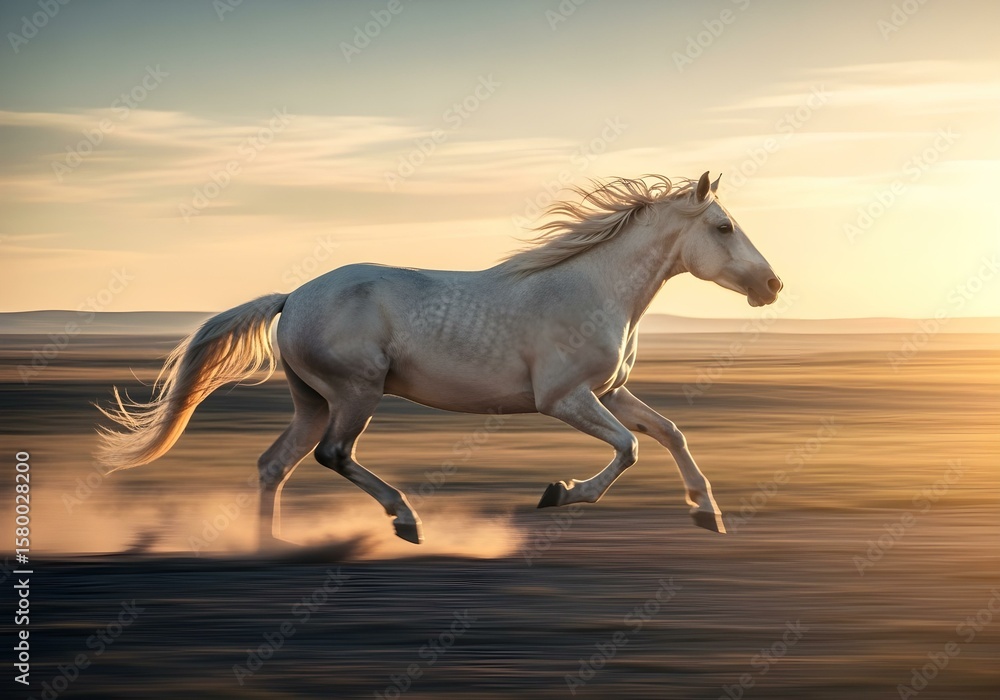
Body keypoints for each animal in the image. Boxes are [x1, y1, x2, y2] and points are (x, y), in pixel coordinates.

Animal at [96, 171, 782, 548]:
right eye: (723, 227)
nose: (773, 285)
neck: (591, 289)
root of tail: (292, 297)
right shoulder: (564, 399)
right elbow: (630, 447)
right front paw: (557, 493)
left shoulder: (608, 392)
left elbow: (669, 432)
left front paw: (708, 513)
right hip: (356, 393)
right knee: (332, 455)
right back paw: (406, 520)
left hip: (311, 400)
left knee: (274, 465)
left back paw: (273, 547)